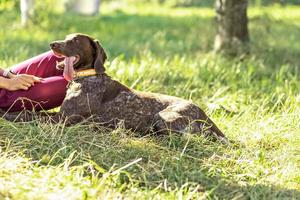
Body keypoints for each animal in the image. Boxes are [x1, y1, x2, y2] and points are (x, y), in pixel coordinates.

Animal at [3, 33, 227, 142]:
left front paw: (8, 115)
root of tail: (204, 114)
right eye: (65, 37)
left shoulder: (61, 120)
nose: (52, 44)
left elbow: (30, 115)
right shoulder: (61, 115)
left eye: (74, 40)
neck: (88, 78)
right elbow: (33, 112)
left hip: (164, 117)